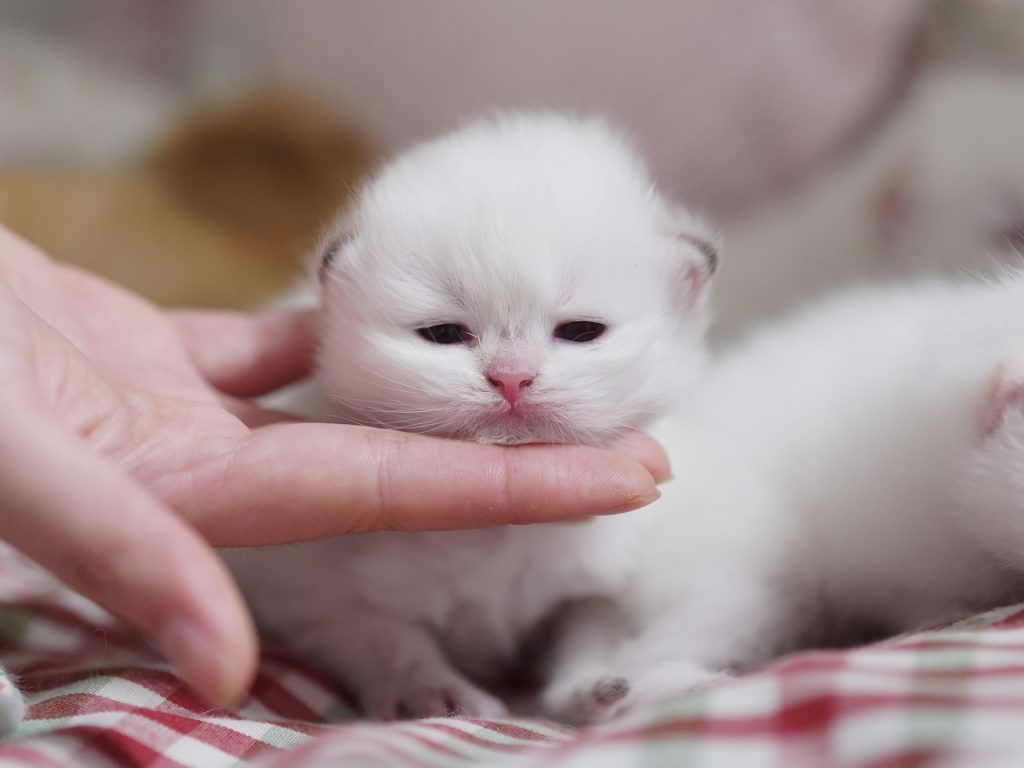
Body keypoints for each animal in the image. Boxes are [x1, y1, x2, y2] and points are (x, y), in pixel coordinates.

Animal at [227, 114, 716, 720]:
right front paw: (430, 693)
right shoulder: (302, 583)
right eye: (442, 333)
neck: (496, 535)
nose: (511, 378)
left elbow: (588, 633)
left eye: (581, 330)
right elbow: (380, 635)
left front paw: (601, 689)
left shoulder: (596, 584)